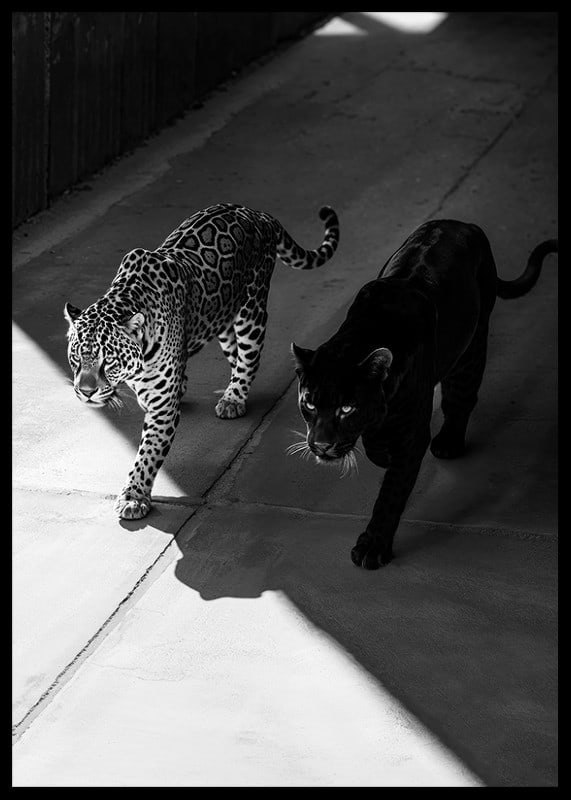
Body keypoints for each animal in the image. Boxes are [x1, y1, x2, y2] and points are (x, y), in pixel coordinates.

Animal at [64, 202, 339, 520]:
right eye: (76, 358)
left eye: (108, 361)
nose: (85, 392)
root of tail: (254, 212)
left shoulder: (162, 408)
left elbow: (147, 454)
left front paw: (134, 496)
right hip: (223, 317)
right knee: (234, 354)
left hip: (251, 310)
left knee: (249, 359)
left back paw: (233, 398)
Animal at [290, 219, 557, 570]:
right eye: (308, 403)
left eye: (347, 408)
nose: (320, 445)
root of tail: (463, 224)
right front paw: (377, 451)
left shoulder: (411, 435)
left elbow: (391, 493)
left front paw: (373, 547)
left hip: (471, 346)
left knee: (461, 397)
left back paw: (449, 442)